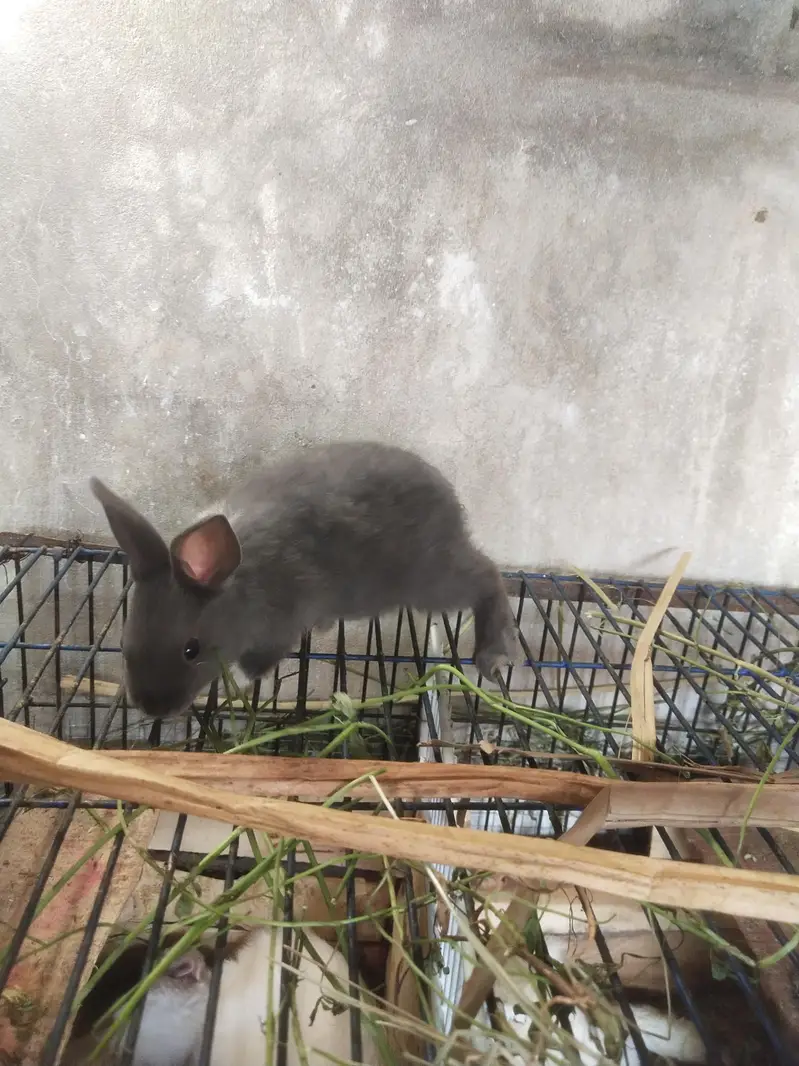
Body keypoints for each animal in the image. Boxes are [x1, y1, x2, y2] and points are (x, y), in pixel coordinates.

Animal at [90, 441, 516, 718]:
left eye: (190, 650)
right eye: (125, 641)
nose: (152, 709)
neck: (237, 586)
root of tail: (453, 504)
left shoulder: (279, 625)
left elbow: (258, 664)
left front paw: (235, 684)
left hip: (430, 579)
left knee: (488, 575)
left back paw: (493, 653)